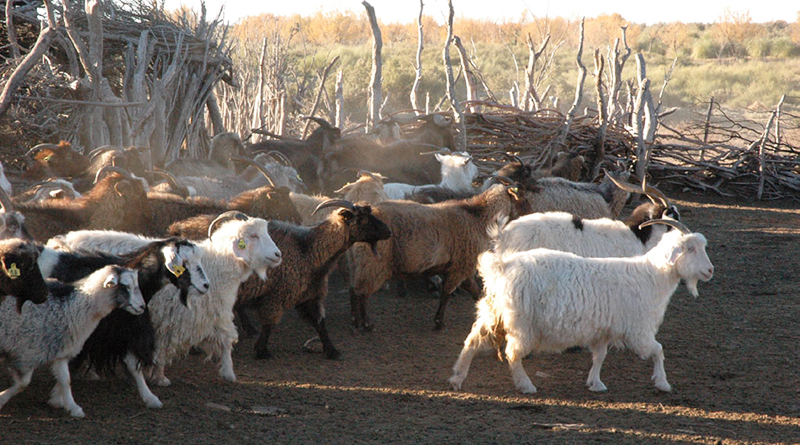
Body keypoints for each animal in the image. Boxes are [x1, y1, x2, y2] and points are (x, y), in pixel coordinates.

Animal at [0, 266, 145, 418]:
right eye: (125, 286)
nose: (142, 307)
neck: (75, 306)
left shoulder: (60, 351)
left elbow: (66, 380)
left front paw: (73, 407)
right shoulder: (26, 353)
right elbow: (23, 383)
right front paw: (1, 399)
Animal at [446, 219, 716, 392]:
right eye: (690, 248)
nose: (710, 271)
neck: (651, 276)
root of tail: (502, 266)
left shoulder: (603, 330)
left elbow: (600, 356)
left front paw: (595, 383)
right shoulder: (638, 331)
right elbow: (658, 350)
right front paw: (662, 383)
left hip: (493, 310)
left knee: (472, 339)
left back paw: (457, 377)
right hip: (522, 322)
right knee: (513, 353)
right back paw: (526, 385)